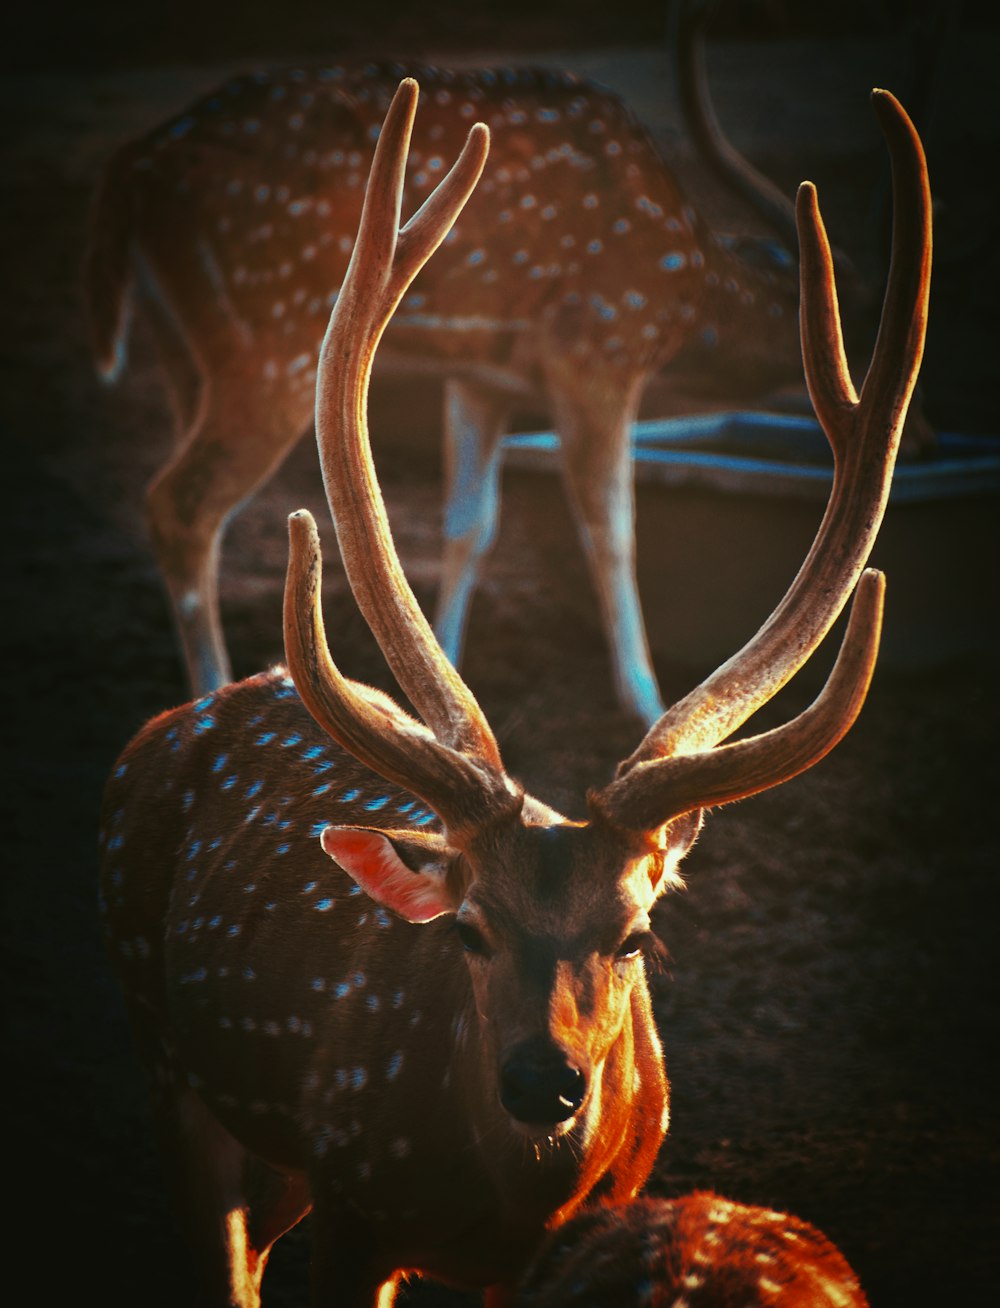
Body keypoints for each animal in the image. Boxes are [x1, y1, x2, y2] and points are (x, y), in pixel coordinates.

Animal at [83, 2, 930, 727]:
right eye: (855, 335)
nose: (917, 438)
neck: (686, 290)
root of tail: (130, 172)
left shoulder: (480, 375)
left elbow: (471, 522)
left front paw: (448, 673)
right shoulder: (600, 346)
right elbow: (611, 526)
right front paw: (644, 698)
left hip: (185, 351)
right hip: (272, 342)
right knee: (179, 503)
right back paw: (212, 689)